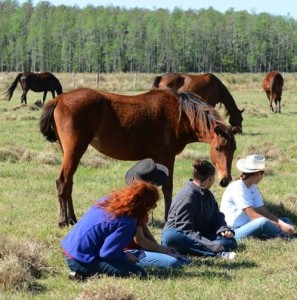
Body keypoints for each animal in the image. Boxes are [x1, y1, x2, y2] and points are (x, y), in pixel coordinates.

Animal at [40, 88, 238, 226]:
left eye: (234, 149)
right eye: (219, 148)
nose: (225, 180)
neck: (179, 115)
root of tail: (59, 99)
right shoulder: (167, 156)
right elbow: (167, 187)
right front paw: (167, 216)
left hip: (68, 152)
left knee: (69, 183)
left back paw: (72, 218)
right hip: (74, 150)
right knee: (63, 181)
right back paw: (63, 220)